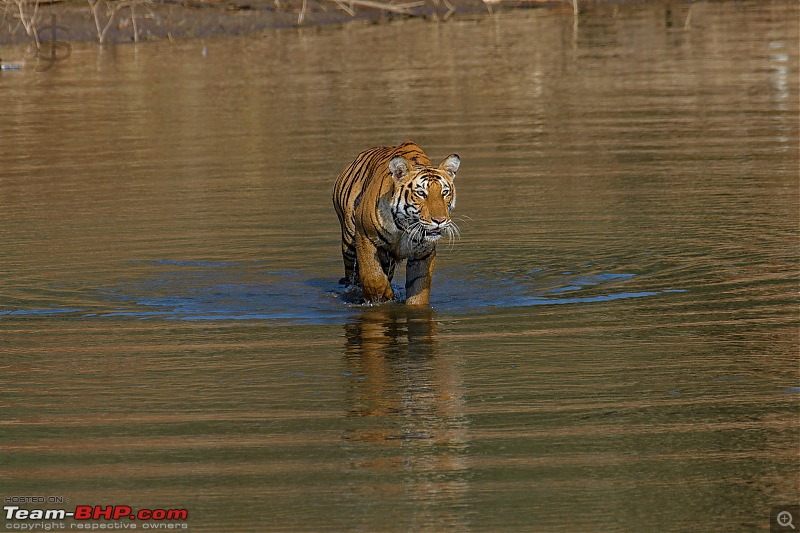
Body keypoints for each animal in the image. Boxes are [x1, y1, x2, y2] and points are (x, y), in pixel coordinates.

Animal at [332, 139, 460, 306]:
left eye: (444, 192)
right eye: (421, 193)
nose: (440, 220)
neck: (405, 226)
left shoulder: (424, 253)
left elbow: (418, 288)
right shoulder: (365, 237)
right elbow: (372, 275)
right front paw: (384, 296)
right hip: (349, 242)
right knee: (351, 278)